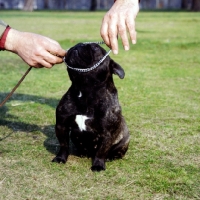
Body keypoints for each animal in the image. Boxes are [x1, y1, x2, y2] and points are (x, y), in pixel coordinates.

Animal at [52, 43, 130, 171]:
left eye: (95, 48)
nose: (80, 44)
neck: (85, 89)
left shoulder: (107, 134)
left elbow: (102, 151)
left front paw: (98, 165)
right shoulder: (61, 125)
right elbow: (63, 145)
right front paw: (60, 158)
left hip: (124, 142)